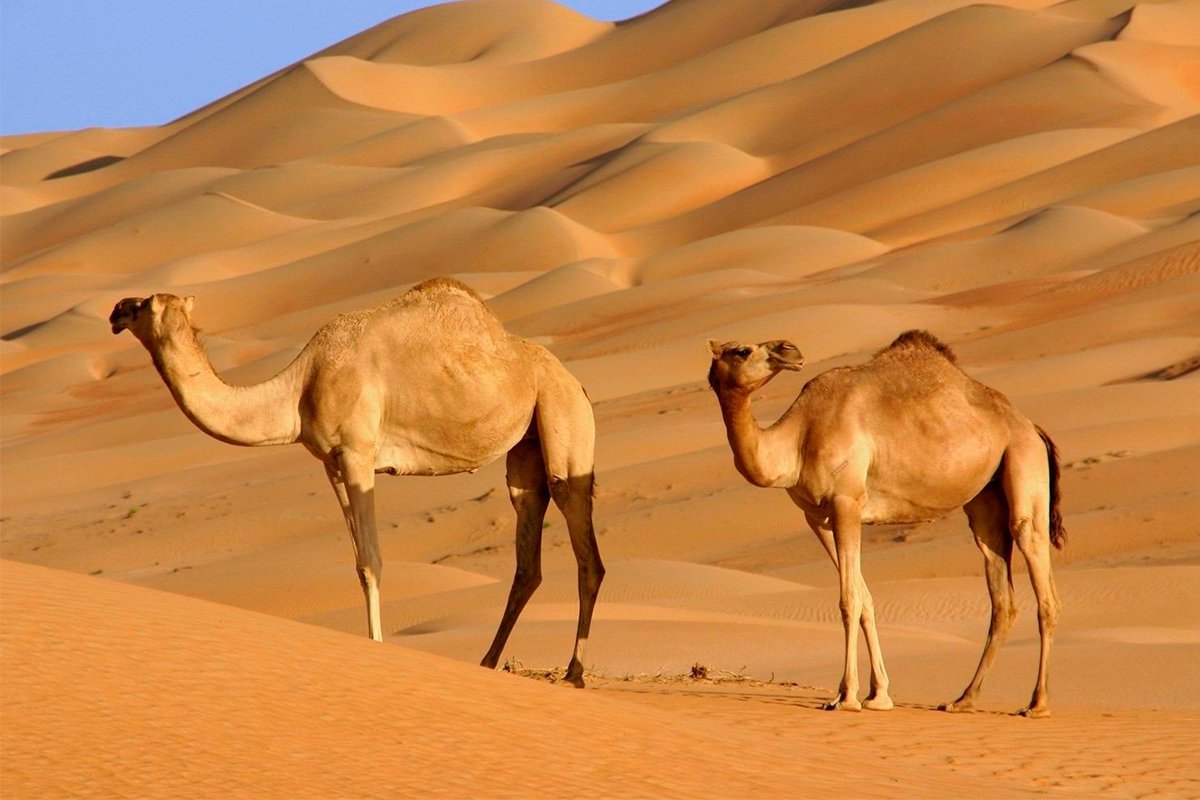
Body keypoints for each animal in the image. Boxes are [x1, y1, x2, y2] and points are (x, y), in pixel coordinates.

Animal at [108, 278, 604, 686]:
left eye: (142, 304)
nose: (114, 310)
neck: (299, 387)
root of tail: (576, 382)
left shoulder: (357, 454)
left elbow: (372, 560)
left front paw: (377, 647)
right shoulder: (331, 463)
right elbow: (358, 562)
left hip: (563, 416)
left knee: (585, 548)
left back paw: (575, 673)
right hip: (526, 450)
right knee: (528, 552)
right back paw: (487, 662)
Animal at [705, 331, 1065, 719]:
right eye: (742, 350)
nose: (790, 348)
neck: (799, 438)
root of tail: (1031, 427)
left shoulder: (847, 501)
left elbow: (848, 600)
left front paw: (847, 697)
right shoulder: (818, 518)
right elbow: (865, 598)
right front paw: (877, 695)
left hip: (1024, 463)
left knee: (1042, 583)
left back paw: (1037, 704)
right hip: (985, 500)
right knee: (1002, 596)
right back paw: (962, 700)